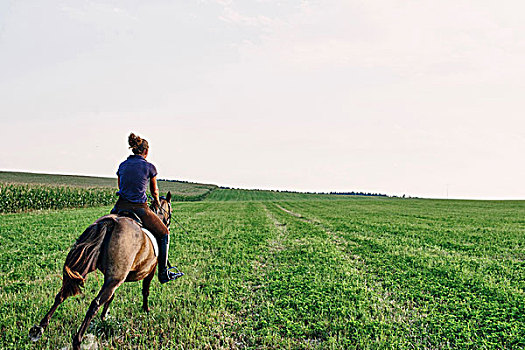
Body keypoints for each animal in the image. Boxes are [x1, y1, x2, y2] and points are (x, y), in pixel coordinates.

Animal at [29, 193, 174, 348]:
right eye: (170, 210)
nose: (168, 223)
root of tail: (111, 223)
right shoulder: (148, 272)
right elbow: (145, 291)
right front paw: (146, 310)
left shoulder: (113, 278)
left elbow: (112, 297)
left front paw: (104, 317)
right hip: (114, 278)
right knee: (95, 304)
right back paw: (77, 341)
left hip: (87, 268)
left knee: (62, 294)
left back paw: (40, 328)